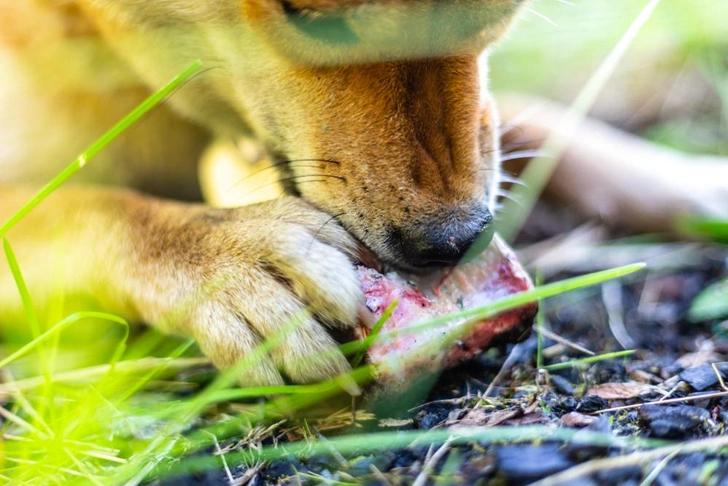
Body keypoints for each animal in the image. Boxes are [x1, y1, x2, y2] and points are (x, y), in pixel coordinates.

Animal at [1, 0, 728, 388]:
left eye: (502, 12)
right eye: (306, 14)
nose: (458, 242)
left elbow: (533, 119)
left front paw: (684, 179)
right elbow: (82, 207)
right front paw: (232, 263)